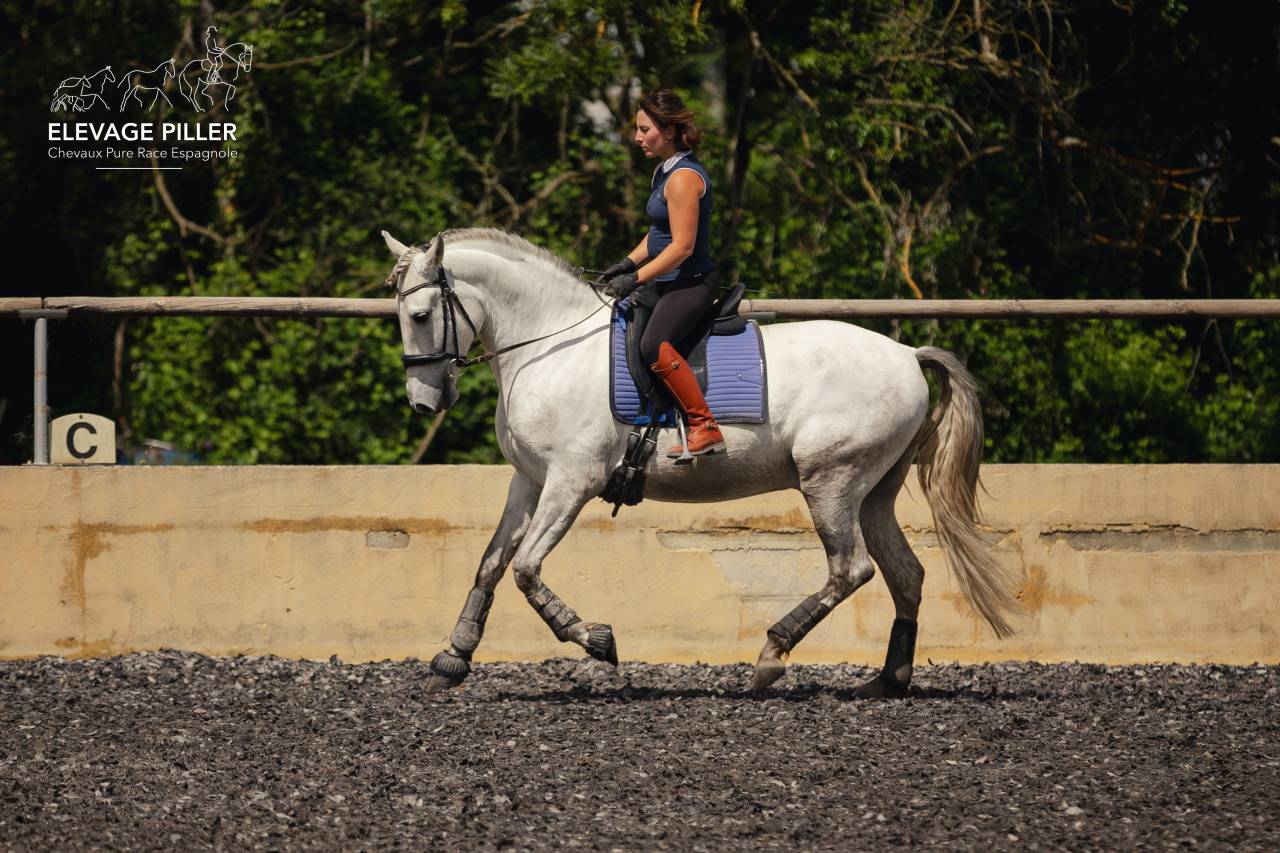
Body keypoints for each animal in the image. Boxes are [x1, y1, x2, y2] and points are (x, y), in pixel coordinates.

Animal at [381, 228, 1021, 696]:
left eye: (420, 316)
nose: (423, 402)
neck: (548, 346)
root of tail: (908, 355)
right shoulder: (529, 481)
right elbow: (491, 564)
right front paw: (453, 657)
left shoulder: (571, 481)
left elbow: (526, 569)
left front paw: (597, 643)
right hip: (873, 492)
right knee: (904, 573)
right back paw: (888, 680)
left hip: (831, 482)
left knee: (851, 569)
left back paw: (771, 655)